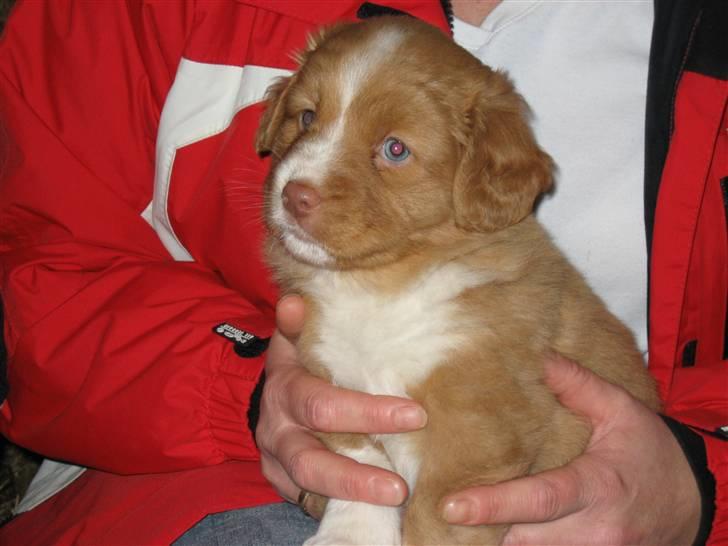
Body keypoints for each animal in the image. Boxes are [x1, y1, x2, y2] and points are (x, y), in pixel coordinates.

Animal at [256, 15, 660, 544]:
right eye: (306, 118)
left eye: (395, 149)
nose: (295, 195)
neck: (381, 287)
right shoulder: (332, 379)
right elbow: (361, 464)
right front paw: (350, 534)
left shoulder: (478, 435)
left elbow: (434, 523)